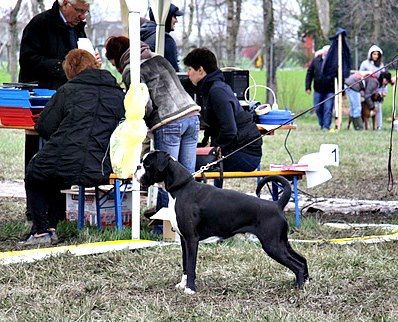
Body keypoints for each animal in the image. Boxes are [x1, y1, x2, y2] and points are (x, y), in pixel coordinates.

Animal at [135, 151, 310, 294]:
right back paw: (305, 282)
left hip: (273, 245)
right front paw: (183, 285)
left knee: (297, 265)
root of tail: (277, 204)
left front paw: (190, 289)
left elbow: (190, 266)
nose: (137, 167)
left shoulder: (192, 240)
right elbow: (185, 264)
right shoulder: (184, 240)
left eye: (147, 164)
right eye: (142, 162)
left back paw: (299, 287)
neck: (181, 188)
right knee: (302, 260)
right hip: (281, 243)